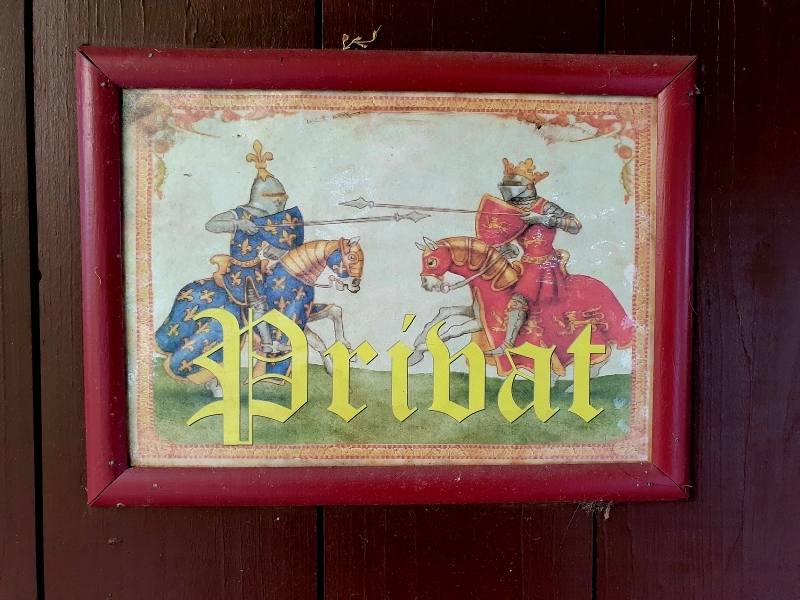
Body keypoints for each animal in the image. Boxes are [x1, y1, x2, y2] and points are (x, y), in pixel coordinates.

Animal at [155, 237, 364, 397]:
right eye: (351, 256)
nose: (355, 285)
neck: (295, 276)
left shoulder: (304, 314)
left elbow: (329, 321)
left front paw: (339, 358)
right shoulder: (290, 317)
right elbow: (305, 341)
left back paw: (215, 388)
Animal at [410, 236, 634, 389]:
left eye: (431, 261)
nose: (426, 285)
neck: (494, 284)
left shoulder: (485, 322)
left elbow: (453, 330)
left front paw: (418, 352)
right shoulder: (477, 316)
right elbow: (445, 311)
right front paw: (418, 342)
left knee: (599, 357)